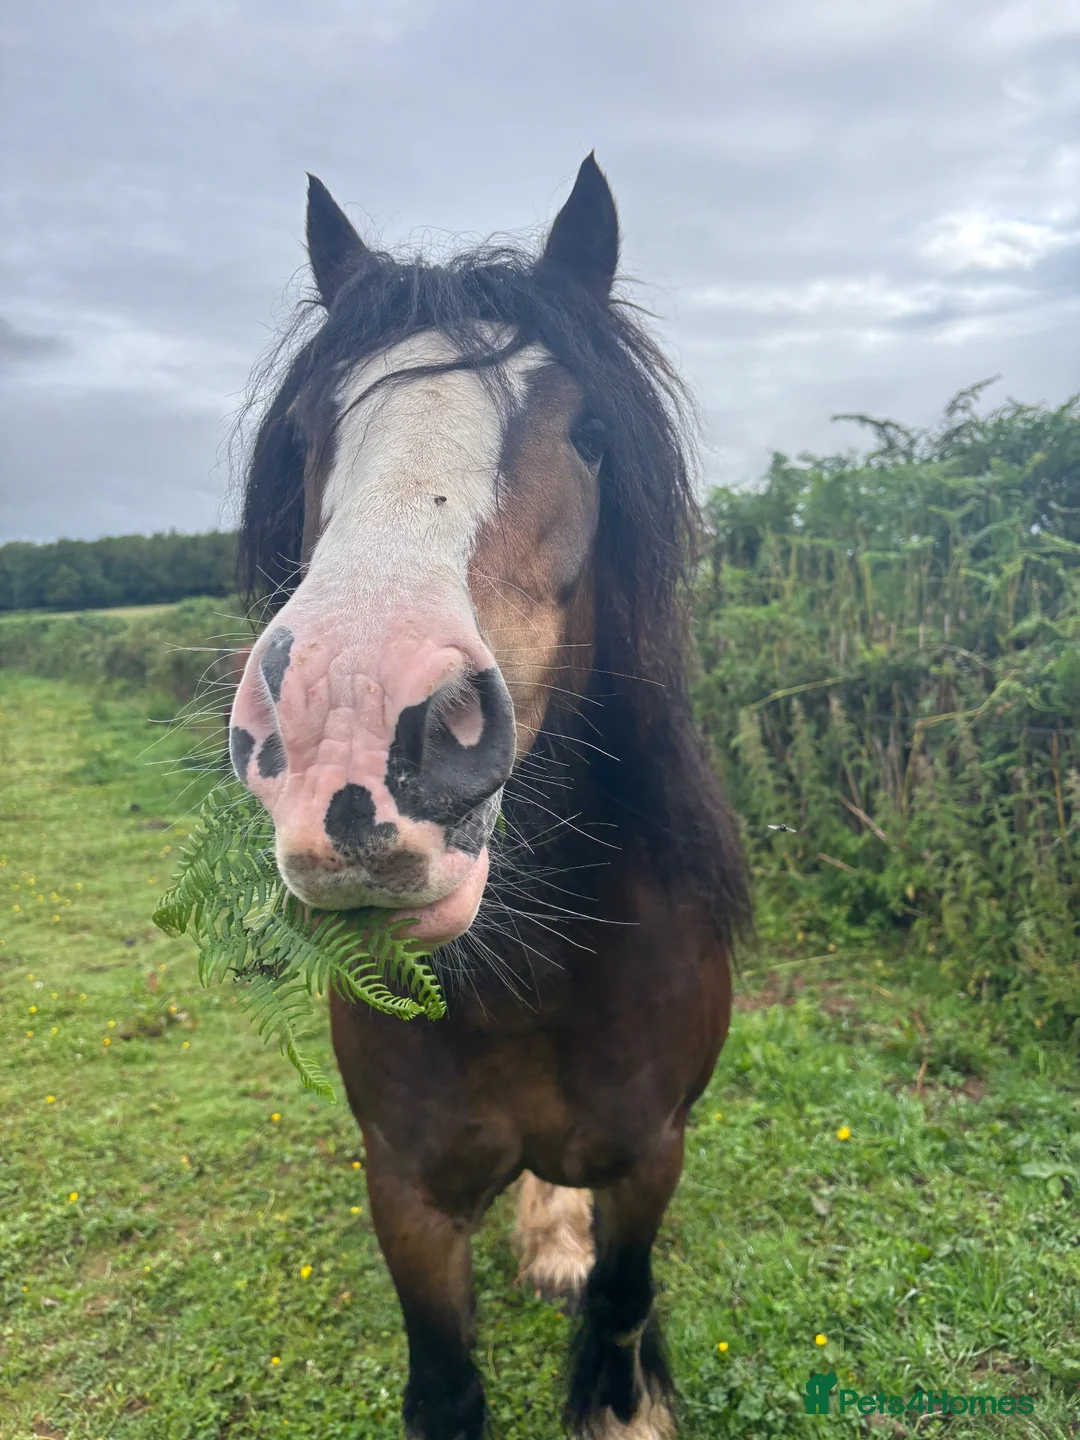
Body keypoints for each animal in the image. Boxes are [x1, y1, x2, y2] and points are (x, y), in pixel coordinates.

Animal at [228, 155, 749, 1440]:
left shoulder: (652, 1154)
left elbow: (621, 1313)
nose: (354, 745)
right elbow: (446, 1382)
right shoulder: (408, 1193)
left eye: (594, 431)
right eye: (308, 434)